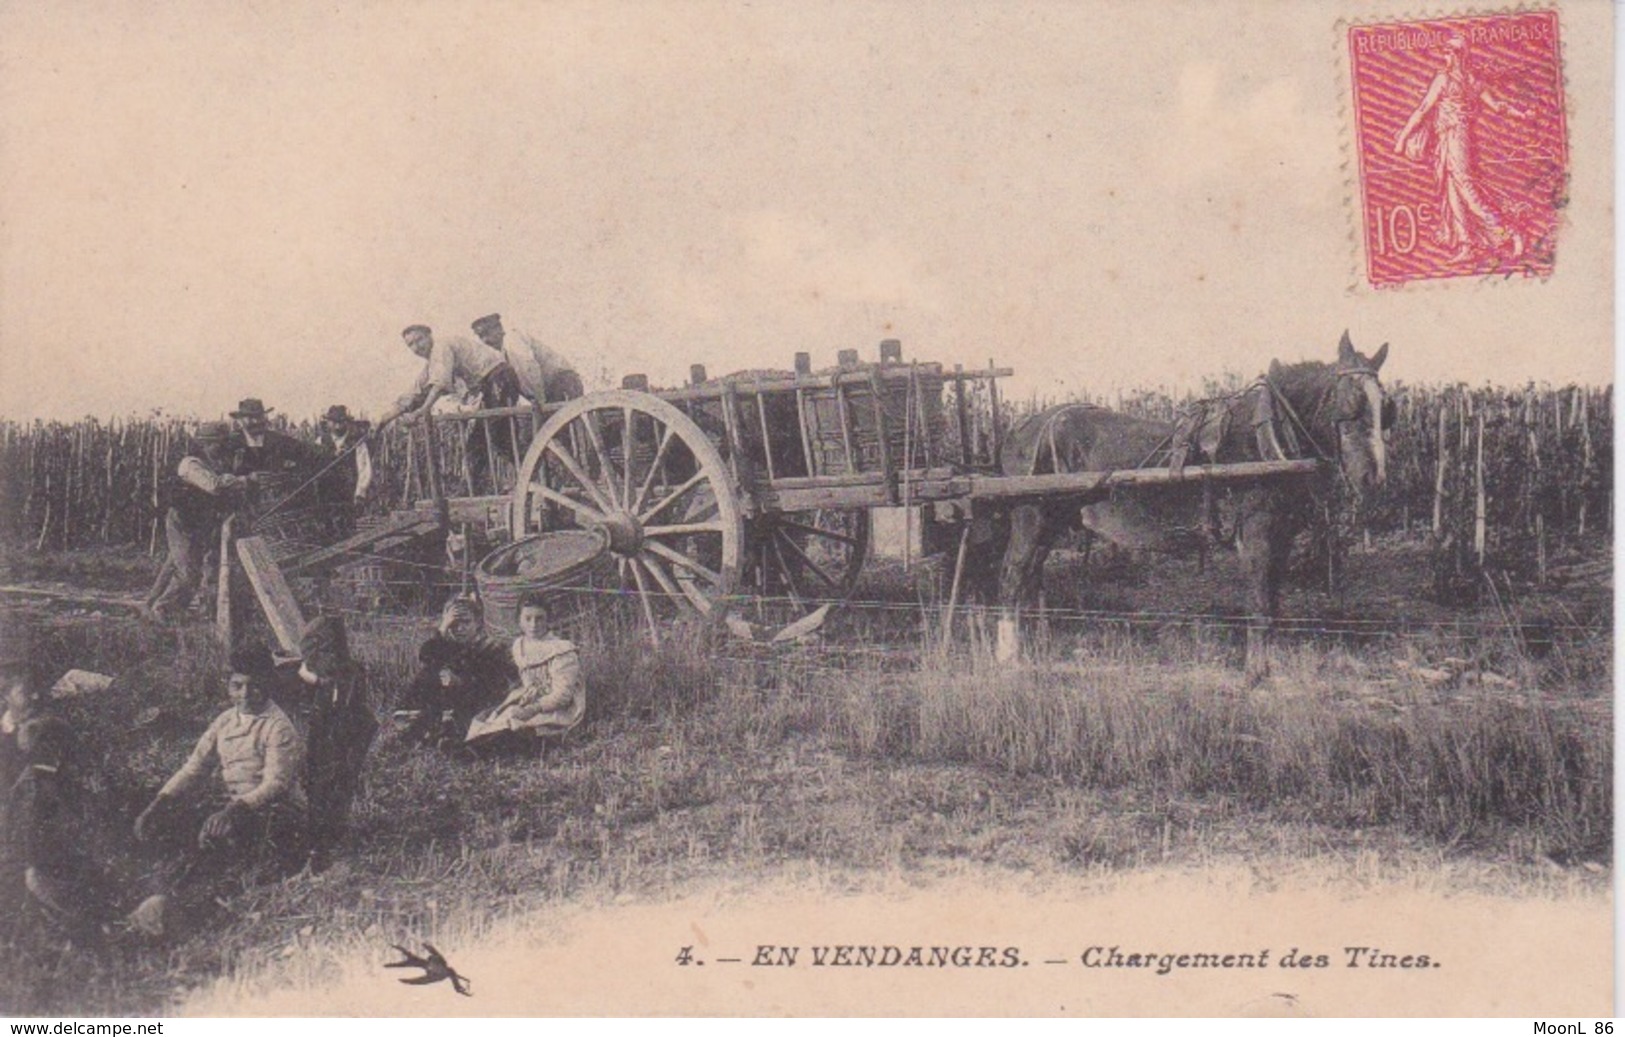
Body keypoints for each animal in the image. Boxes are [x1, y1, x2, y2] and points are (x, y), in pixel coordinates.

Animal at [962, 328, 1397, 679]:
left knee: (1031, 577)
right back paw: (1008, 657)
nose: (1373, 478)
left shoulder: (1282, 536)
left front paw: (1267, 666)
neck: (1269, 436)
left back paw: (1036, 647)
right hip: (1030, 515)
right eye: (1350, 404)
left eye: (1387, 409)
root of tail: (1020, 428)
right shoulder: (1256, 531)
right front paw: (1254, 673)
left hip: (1051, 520)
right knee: (1012, 576)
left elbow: (1274, 600)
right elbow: (1259, 601)